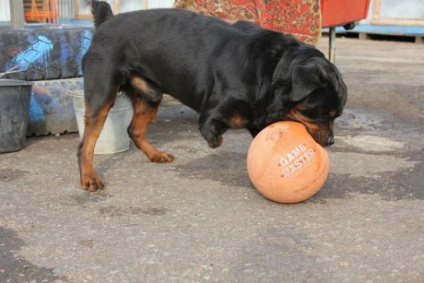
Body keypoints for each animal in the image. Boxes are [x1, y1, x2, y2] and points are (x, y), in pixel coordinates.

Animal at [78, 0, 348, 191]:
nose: (332, 141)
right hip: (102, 92)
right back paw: (89, 177)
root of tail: (107, 21)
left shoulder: (259, 120)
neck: (273, 67)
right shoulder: (211, 114)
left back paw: (155, 154)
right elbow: (215, 132)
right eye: (322, 116)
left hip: (150, 93)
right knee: (86, 143)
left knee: (133, 129)